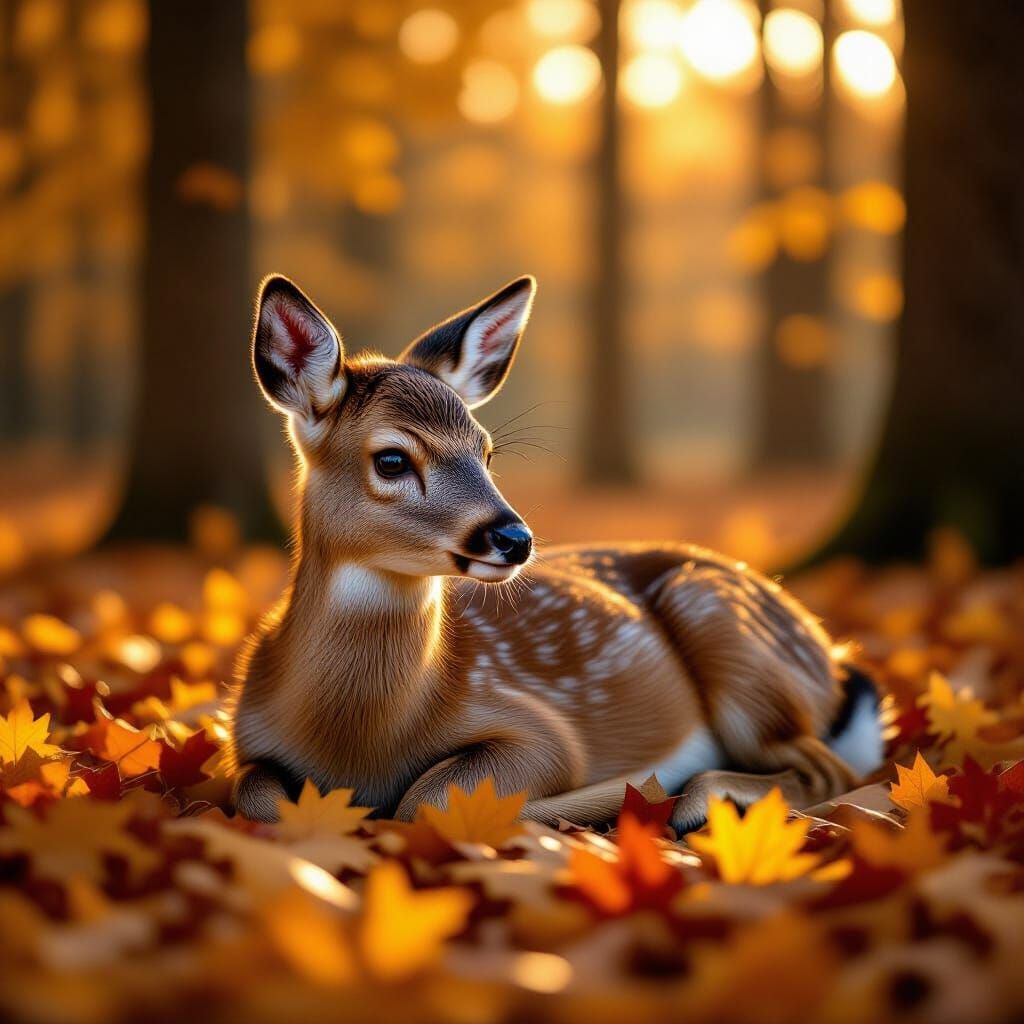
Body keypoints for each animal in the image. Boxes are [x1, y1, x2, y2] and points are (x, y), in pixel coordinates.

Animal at [227, 273, 883, 836]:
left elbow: (425, 797)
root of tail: (830, 658)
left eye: (486, 451)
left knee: (829, 770)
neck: (357, 743)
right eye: (391, 459)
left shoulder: (542, 729)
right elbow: (255, 797)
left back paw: (692, 798)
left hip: (733, 637)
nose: (515, 538)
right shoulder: (245, 735)